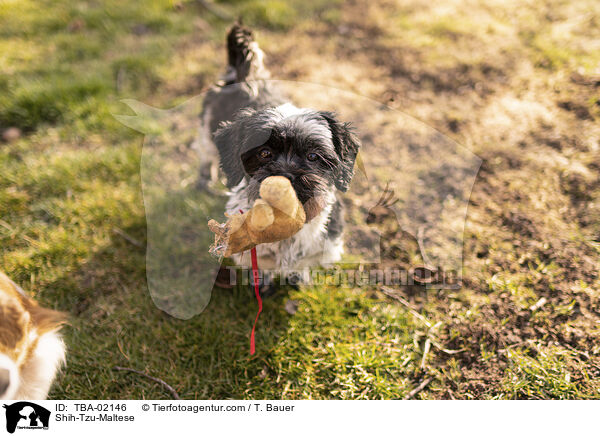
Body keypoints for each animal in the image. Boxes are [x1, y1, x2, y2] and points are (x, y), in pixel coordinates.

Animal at [200, 23, 360, 282]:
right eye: (264, 153)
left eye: (313, 156)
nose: (285, 177)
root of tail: (245, 78)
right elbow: (263, 263)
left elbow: (302, 263)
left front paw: (298, 277)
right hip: (205, 132)